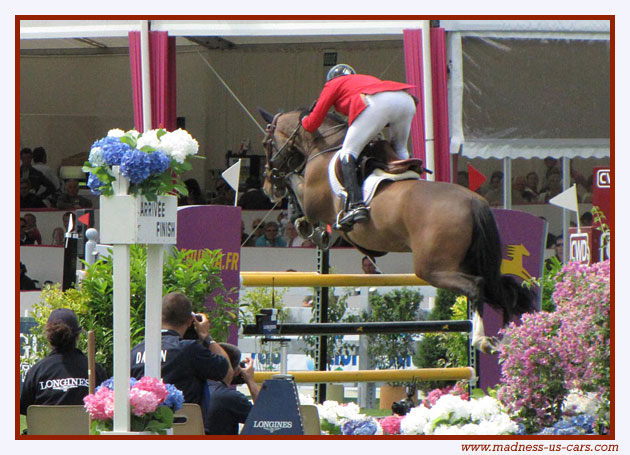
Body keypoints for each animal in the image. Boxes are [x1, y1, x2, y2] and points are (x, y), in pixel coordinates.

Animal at [260, 108, 536, 354]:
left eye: (267, 143)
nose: (266, 187)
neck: (323, 146)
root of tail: (474, 202)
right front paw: (318, 232)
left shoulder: (312, 199)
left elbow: (293, 183)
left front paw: (302, 223)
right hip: (472, 260)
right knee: (507, 291)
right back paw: (510, 341)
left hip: (432, 268)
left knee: (476, 286)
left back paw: (482, 340)